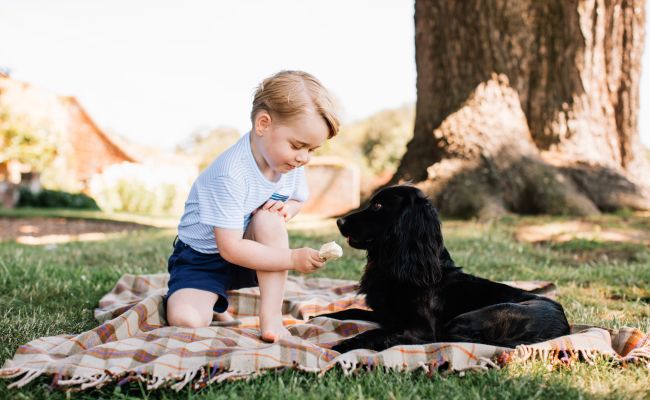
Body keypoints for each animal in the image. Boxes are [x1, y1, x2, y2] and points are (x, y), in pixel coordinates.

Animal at [318, 186, 568, 352]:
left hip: (465, 320)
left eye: (378, 206)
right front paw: (318, 317)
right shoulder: (385, 315)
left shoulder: (421, 328)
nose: (339, 221)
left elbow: (374, 333)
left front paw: (340, 346)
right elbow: (347, 311)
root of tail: (563, 328)